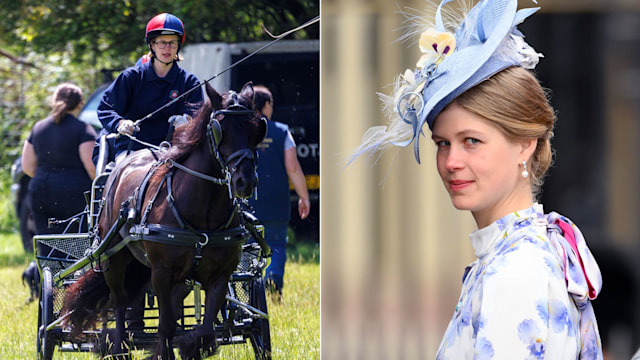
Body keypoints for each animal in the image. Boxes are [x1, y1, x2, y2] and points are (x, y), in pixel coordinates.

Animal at [62, 82, 264, 360]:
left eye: (258, 128)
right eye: (219, 128)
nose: (246, 181)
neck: (202, 213)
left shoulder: (220, 275)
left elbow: (205, 328)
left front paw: (191, 345)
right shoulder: (160, 271)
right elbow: (166, 325)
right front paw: (164, 351)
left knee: (175, 298)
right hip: (114, 258)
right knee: (120, 302)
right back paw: (118, 347)